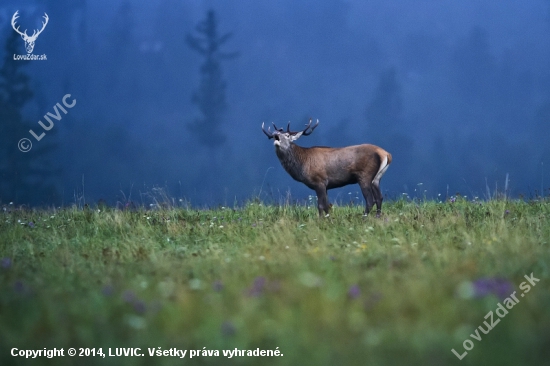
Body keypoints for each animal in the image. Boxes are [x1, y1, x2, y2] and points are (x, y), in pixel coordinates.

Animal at [264, 118, 392, 217]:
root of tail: (386, 154)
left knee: (370, 199)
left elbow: (321, 205)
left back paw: (364, 217)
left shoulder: (319, 181)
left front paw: (321, 220)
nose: (275, 134)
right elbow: (327, 206)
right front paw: (329, 219)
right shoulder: (326, 186)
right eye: (275, 134)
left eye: (287, 135)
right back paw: (377, 216)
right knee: (379, 197)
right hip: (376, 178)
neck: (303, 164)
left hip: (364, 175)